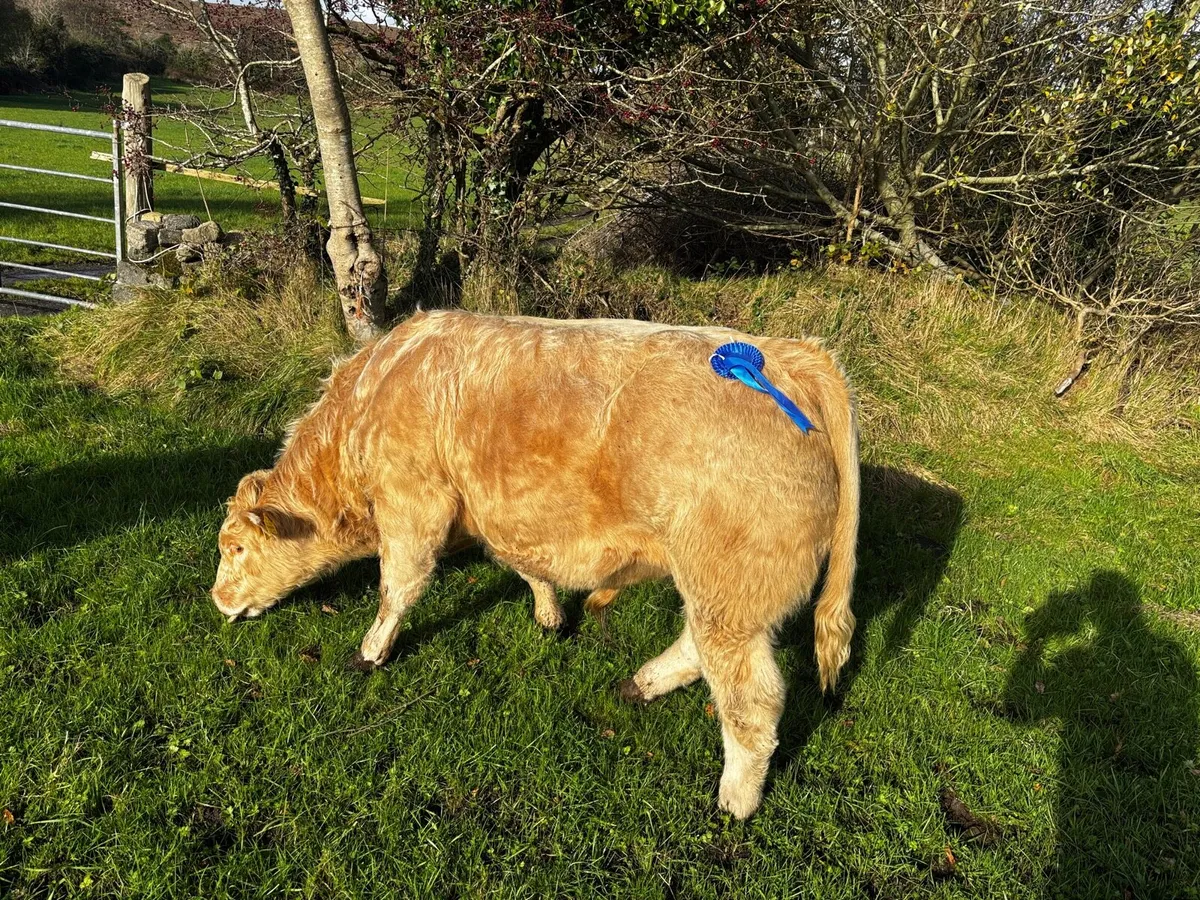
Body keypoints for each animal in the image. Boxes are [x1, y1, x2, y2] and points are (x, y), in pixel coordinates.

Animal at [211, 310, 859, 818]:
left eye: (235, 548)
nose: (217, 600)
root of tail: (793, 356)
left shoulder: (413, 505)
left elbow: (399, 586)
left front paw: (371, 651)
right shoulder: (489, 512)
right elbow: (524, 566)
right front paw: (550, 613)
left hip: (730, 589)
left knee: (750, 700)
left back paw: (736, 800)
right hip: (721, 591)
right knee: (701, 648)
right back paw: (643, 683)